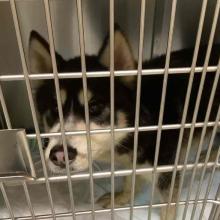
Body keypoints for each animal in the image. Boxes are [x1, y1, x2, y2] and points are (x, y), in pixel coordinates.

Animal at [29, 29, 220, 220]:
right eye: (55, 108)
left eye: (95, 107)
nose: (60, 155)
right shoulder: (133, 163)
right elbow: (130, 181)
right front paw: (121, 197)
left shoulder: (167, 169)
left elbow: (169, 204)